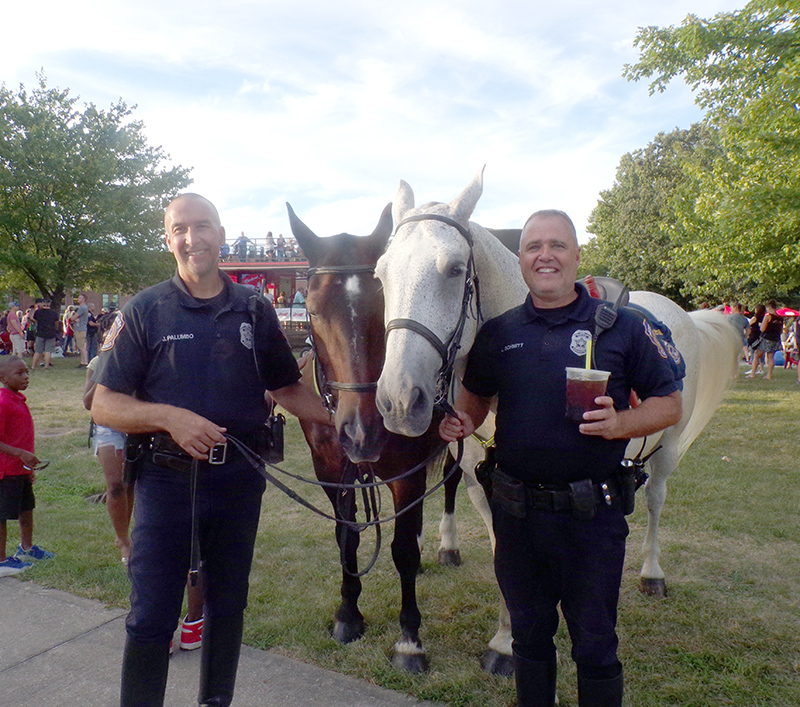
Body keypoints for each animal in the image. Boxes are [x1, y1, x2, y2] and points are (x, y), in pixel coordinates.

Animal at [288, 202, 462, 672]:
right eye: (313, 310)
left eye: (383, 301)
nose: (361, 429)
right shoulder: (332, 471)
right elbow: (347, 537)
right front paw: (348, 614)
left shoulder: (408, 473)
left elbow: (402, 551)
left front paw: (409, 640)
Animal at [376, 167, 744, 676]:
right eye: (381, 275)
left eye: (453, 269)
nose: (398, 399)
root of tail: (680, 313)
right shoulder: (482, 485)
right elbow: (504, 556)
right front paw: (506, 640)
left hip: (668, 448)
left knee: (655, 500)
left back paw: (651, 573)